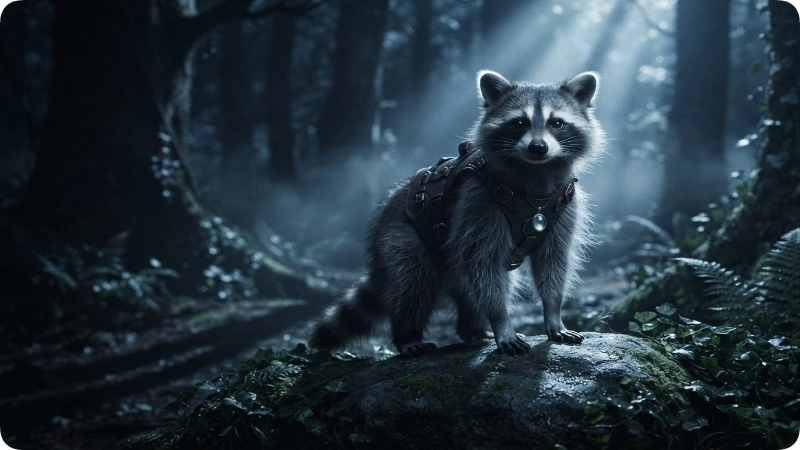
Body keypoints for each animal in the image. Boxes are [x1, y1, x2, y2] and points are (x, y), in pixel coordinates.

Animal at [311, 70, 606, 357]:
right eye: (519, 123)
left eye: (557, 123)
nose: (538, 147)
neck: (536, 172)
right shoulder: (478, 201)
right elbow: (482, 261)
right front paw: (501, 322)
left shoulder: (564, 206)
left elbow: (553, 264)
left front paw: (553, 313)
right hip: (402, 238)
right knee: (413, 284)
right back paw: (408, 335)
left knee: (474, 290)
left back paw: (472, 329)